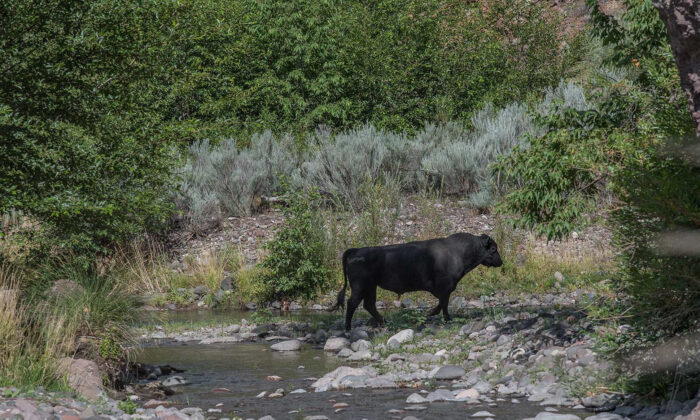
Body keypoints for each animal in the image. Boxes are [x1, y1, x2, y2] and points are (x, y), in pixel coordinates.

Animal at [334, 233, 504, 332]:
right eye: (493, 248)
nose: (500, 262)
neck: (458, 252)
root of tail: (355, 250)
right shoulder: (445, 287)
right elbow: (443, 303)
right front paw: (444, 317)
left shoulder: (445, 289)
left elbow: (442, 303)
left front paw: (434, 314)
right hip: (360, 287)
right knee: (352, 303)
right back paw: (348, 328)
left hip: (371, 287)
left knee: (369, 304)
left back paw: (384, 321)